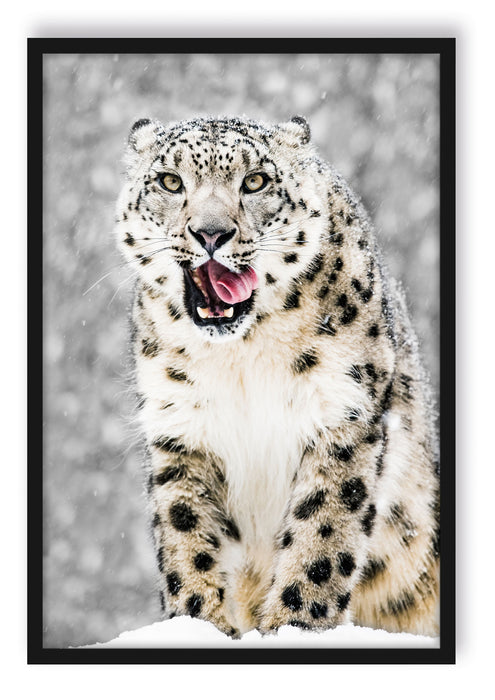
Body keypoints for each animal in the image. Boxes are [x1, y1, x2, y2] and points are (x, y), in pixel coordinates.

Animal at [115, 115, 440, 639]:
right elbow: (187, 536)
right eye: (170, 181)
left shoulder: (342, 412)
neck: (243, 357)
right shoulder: (182, 428)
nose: (210, 233)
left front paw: (297, 623)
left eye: (255, 181)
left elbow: (321, 534)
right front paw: (200, 623)